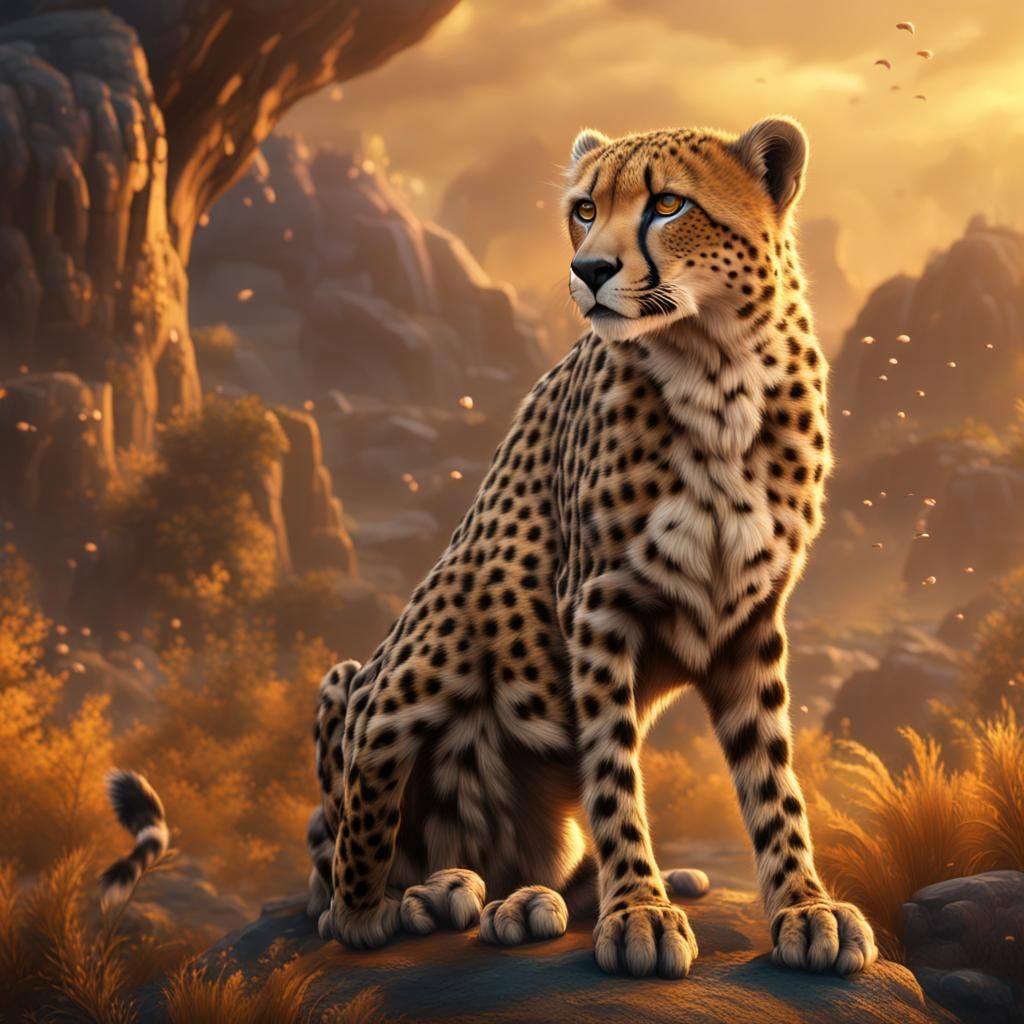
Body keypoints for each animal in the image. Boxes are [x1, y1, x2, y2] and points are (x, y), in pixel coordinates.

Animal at [308, 116, 878, 980]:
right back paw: (410, 900)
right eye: (584, 210)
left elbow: (774, 778)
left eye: (668, 204)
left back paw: (532, 901)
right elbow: (612, 770)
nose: (589, 269)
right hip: (394, 670)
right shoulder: (597, 607)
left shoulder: (751, 617)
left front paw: (805, 908)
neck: (717, 372)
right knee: (357, 807)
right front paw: (640, 911)